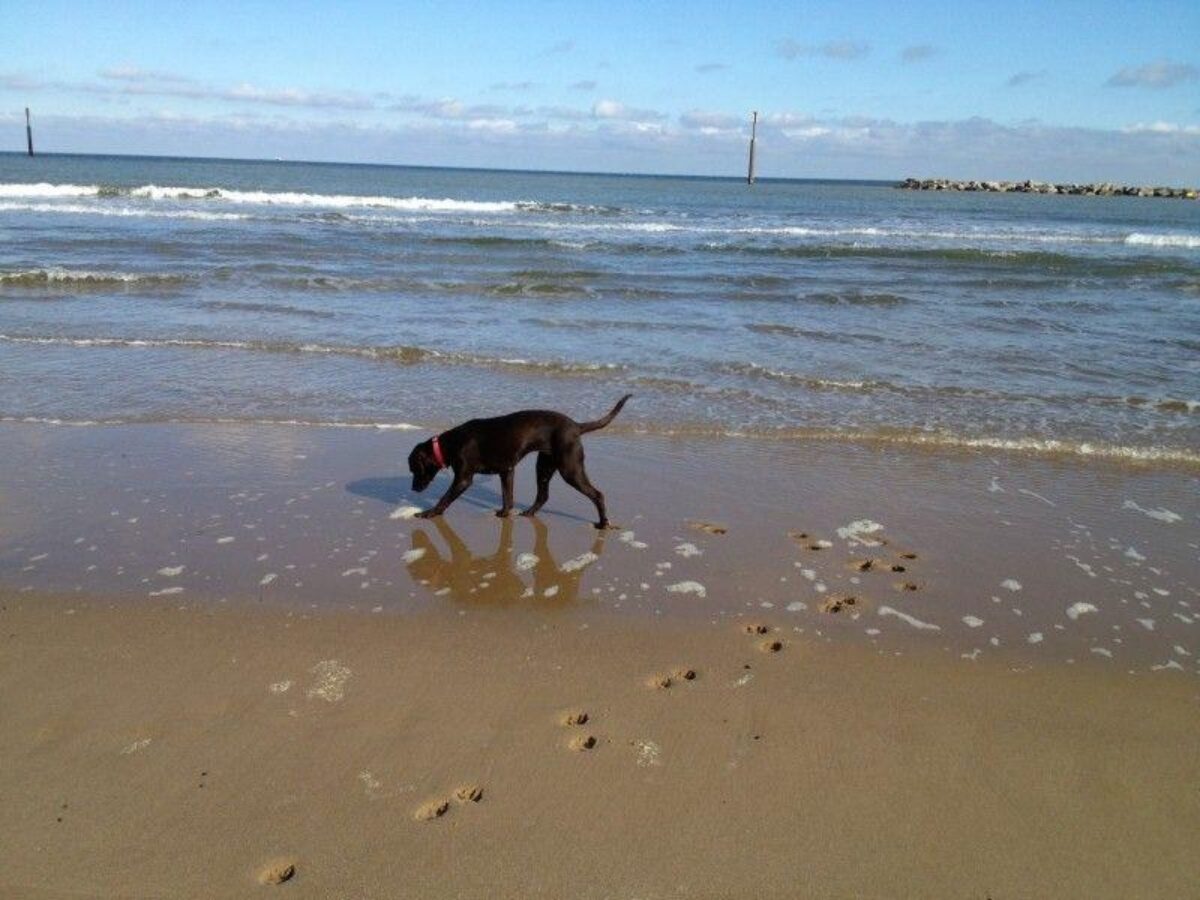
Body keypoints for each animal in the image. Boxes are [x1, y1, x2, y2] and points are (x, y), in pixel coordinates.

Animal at [405, 393, 633, 528]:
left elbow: (444, 499)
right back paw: (530, 513)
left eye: (415, 469)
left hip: (570, 469)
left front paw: (428, 513)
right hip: (544, 466)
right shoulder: (506, 471)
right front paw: (505, 514)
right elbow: (508, 497)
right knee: (543, 495)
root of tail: (577, 426)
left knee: (598, 495)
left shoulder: (463, 479)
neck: (451, 443)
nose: (413, 489)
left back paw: (603, 523)